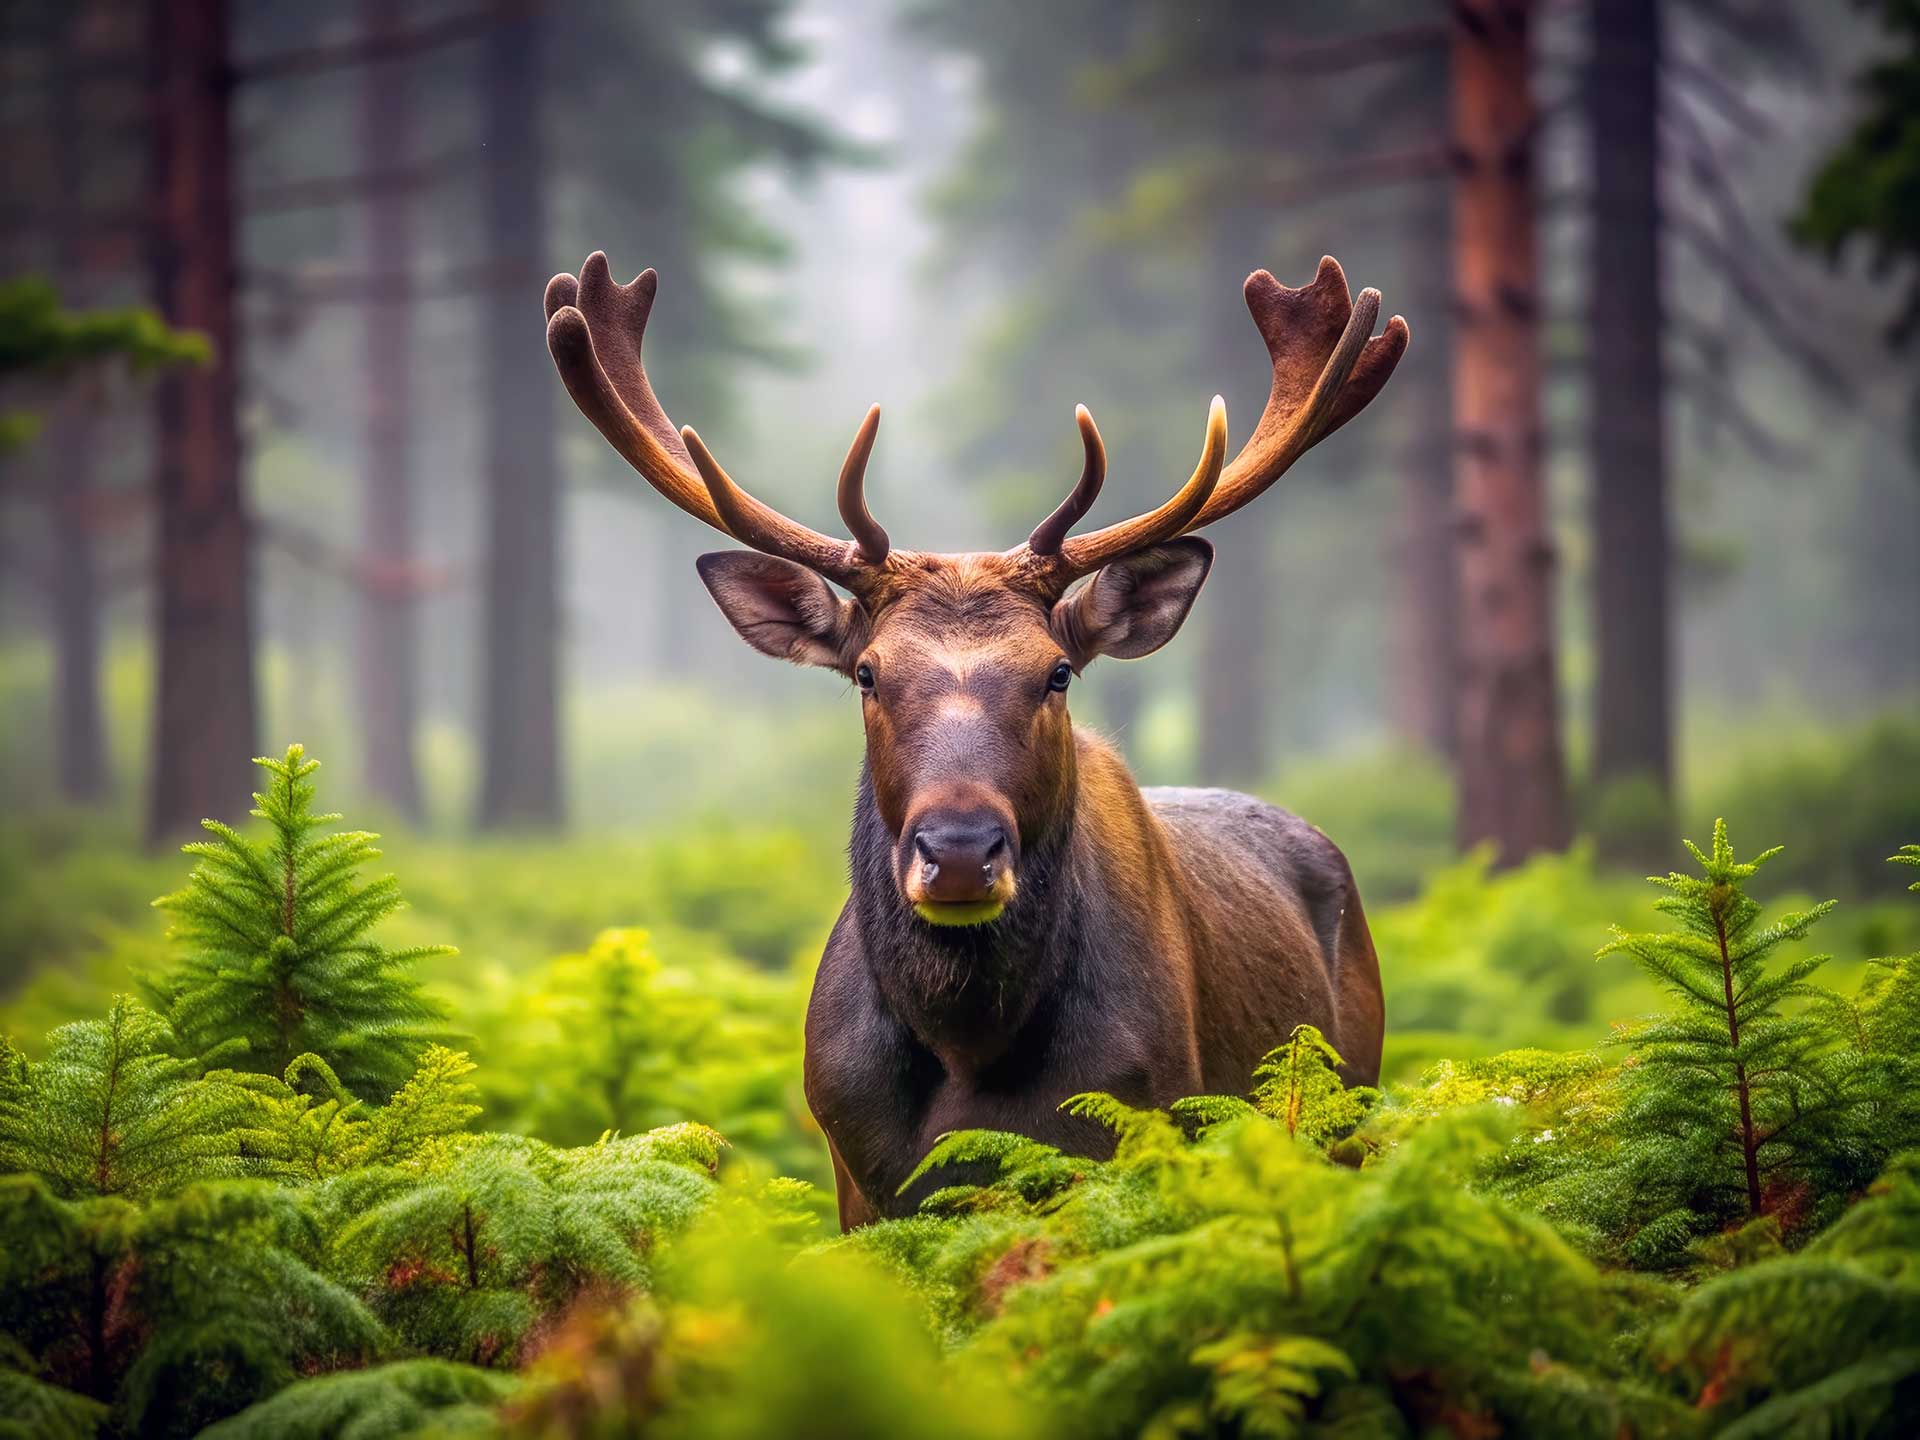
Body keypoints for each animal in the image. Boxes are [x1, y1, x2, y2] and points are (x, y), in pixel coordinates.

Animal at [541, 247, 1413, 1228]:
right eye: (868, 673)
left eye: (1058, 672)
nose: (959, 851)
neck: (965, 1052)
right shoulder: (856, 1178)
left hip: (1354, 1104)